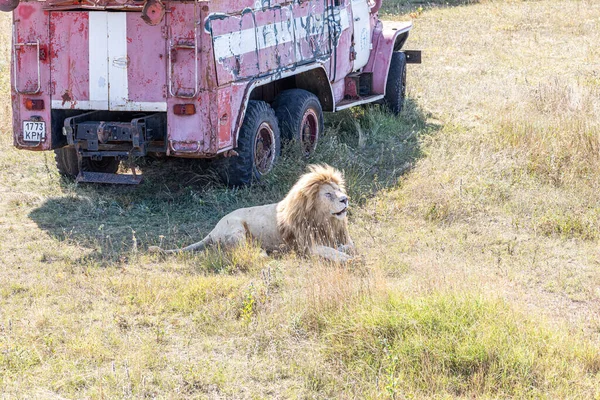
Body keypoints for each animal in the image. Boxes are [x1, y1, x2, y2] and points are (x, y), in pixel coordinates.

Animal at [149, 163, 354, 262]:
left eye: (339, 189)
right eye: (328, 194)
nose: (345, 199)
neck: (324, 220)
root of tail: (212, 231)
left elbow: (349, 246)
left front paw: (344, 249)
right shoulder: (308, 246)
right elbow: (335, 254)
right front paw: (350, 259)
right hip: (236, 228)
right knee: (238, 250)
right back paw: (263, 253)